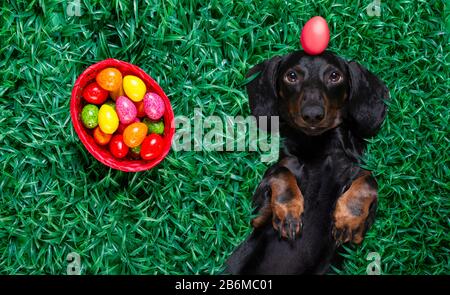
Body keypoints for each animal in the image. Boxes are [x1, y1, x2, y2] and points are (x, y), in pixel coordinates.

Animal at [227, 50, 388, 276]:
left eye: (334, 76)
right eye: (292, 76)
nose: (312, 114)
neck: (318, 149)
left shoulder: (360, 225)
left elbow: (369, 180)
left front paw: (347, 219)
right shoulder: (259, 212)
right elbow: (281, 172)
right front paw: (289, 214)